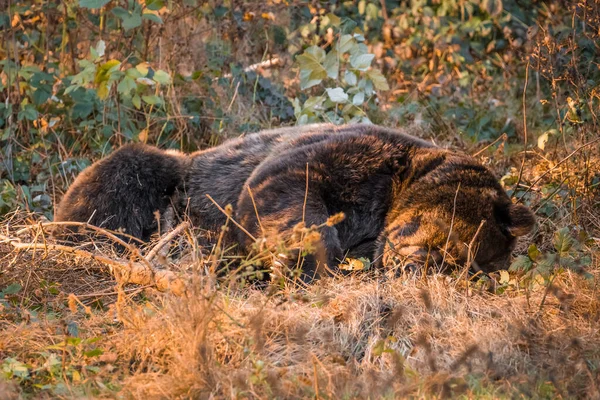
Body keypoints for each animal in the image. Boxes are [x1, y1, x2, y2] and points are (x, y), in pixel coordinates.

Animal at [55, 123, 536, 280]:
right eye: (448, 244)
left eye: (465, 267)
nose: (416, 265)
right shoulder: (352, 156)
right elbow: (288, 188)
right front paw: (305, 259)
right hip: (175, 174)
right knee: (127, 175)